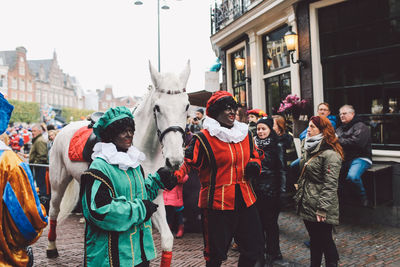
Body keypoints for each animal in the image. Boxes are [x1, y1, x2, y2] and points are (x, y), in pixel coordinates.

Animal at [47, 61, 191, 267]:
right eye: (157, 107)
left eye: (186, 106)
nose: (175, 159)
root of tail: (62, 130)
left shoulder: (155, 195)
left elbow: (167, 238)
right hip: (58, 182)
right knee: (53, 211)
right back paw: (51, 248)